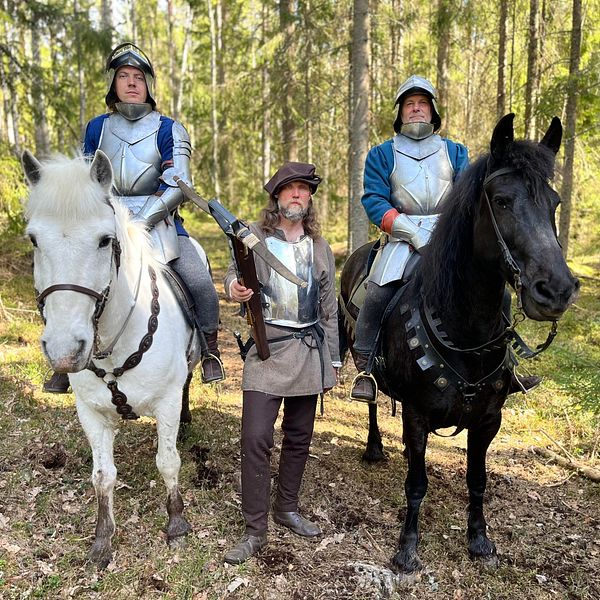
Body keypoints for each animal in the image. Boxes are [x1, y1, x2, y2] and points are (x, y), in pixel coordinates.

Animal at [23, 150, 202, 568]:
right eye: (34, 239)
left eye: (105, 240)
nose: (65, 351)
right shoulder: (90, 412)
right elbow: (102, 475)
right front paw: (103, 539)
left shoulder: (167, 401)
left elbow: (168, 461)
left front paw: (176, 525)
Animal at [340, 113, 580, 572]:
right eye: (502, 200)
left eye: (555, 203)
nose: (556, 290)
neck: (464, 331)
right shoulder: (417, 414)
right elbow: (416, 484)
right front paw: (407, 547)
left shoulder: (488, 421)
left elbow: (477, 479)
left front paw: (479, 540)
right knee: (373, 400)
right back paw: (376, 447)